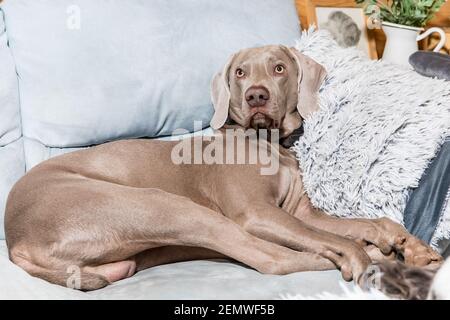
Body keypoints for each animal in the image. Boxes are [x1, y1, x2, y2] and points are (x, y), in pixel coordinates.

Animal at [3, 45, 442, 290]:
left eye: (279, 68)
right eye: (240, 72)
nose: (256, 96)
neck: (268, 144)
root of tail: (17, 239)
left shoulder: (300, 213)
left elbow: (367, 221)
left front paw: (412, 245)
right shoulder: (257, 213)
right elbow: (336, 239)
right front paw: (369, 252)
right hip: (166, 206)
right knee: (271, 259)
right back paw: (378, 261)